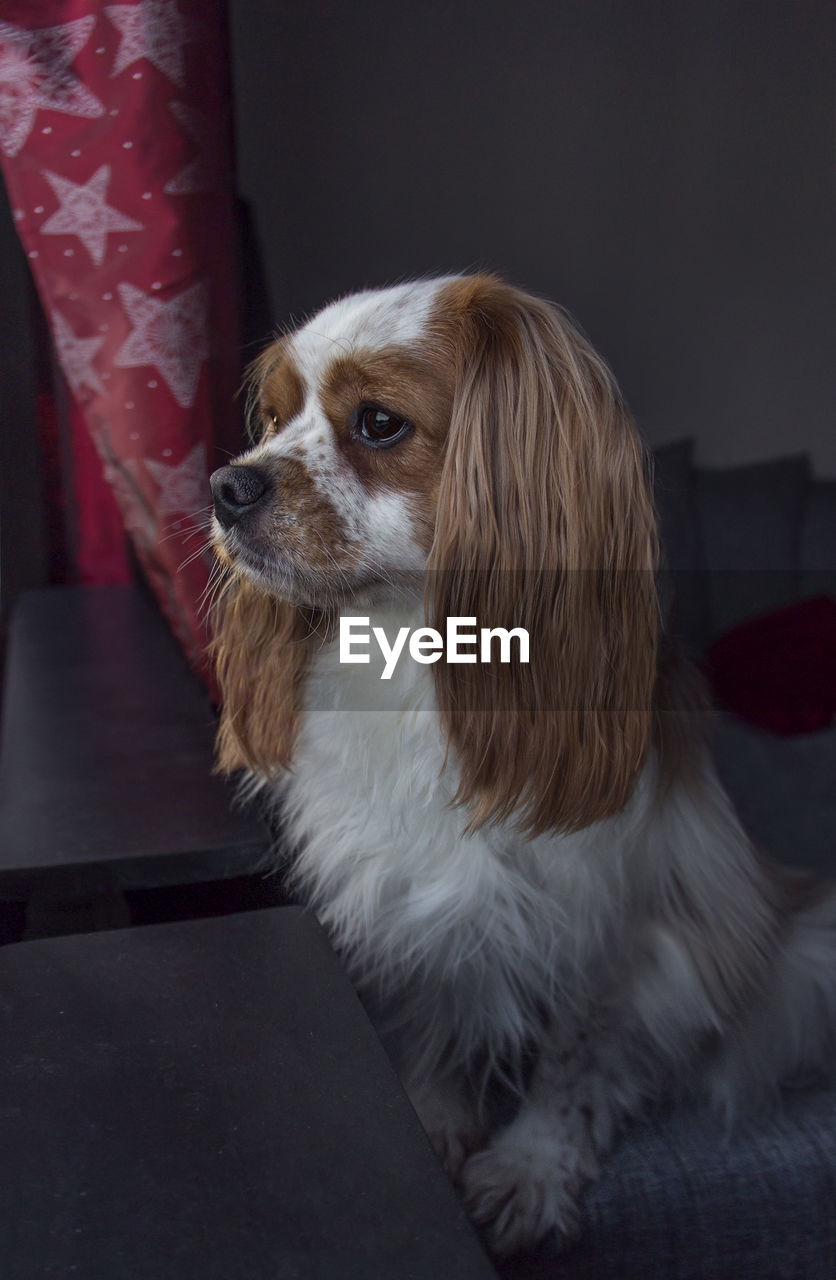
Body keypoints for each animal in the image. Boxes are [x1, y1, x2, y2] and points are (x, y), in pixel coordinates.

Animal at [209, 275, 834, 1254]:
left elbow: (574, 1060)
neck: (407, 652)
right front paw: (429, 1115)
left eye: (378, 423)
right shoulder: (412, 885)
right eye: (272, 418)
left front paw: (534, 1164)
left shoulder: (607, 916)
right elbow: (438, 1005)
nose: (226, 484)